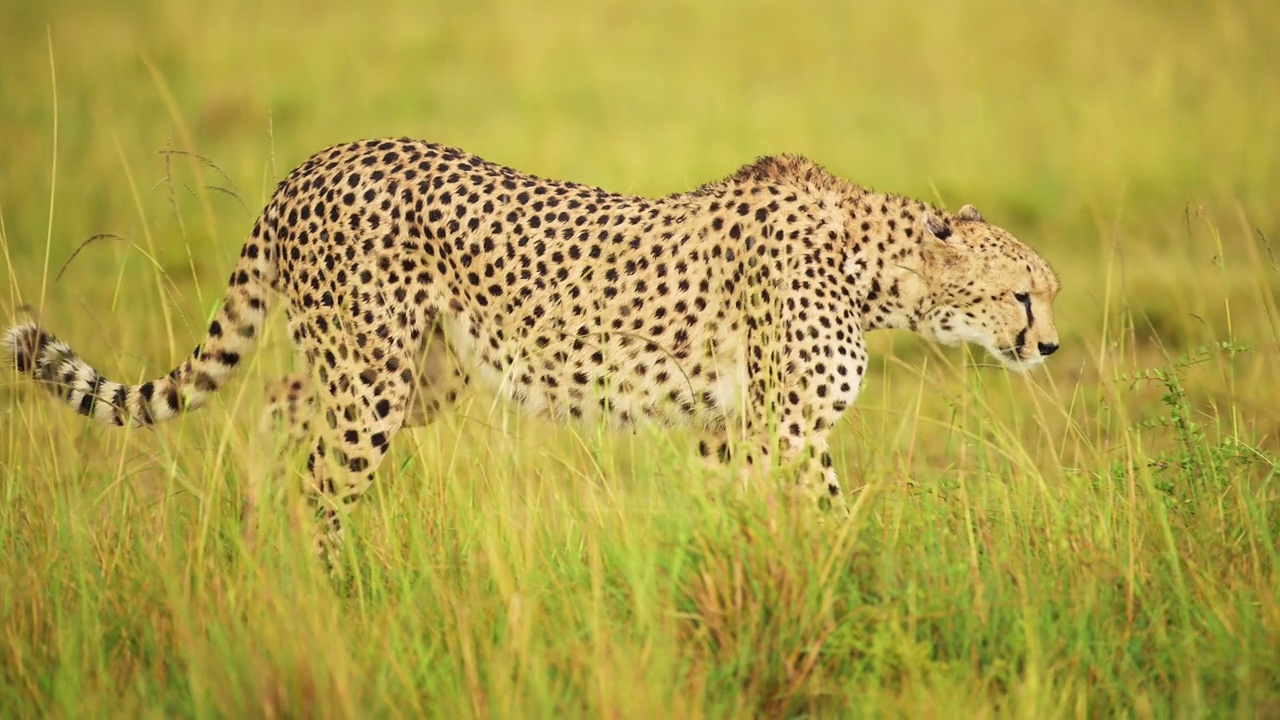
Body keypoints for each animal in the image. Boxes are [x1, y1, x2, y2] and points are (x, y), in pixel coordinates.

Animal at [0, 137, 1059, 558]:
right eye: (1022, 292)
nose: (1049, 344)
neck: (878, 266)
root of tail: (317, 162)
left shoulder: (728, 428)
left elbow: (759, 521)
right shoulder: (783, 427)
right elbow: (817, 522)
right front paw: (850, 584)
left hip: (409, 375)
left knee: (277, 412)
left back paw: (264, 539)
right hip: (376, 380)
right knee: (324, 479)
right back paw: (324, 585)